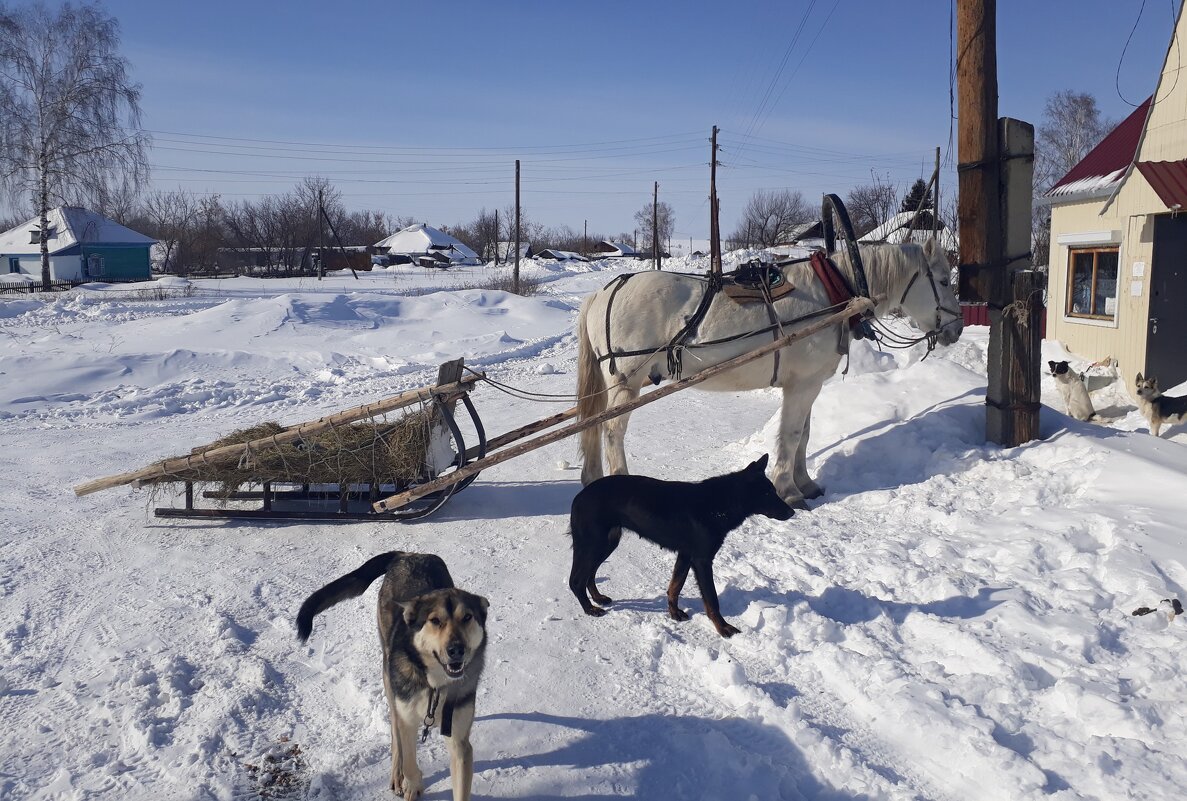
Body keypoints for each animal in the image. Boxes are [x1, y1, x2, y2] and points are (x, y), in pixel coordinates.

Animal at [299, 555, 489, 801]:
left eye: (467, 617)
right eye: (435, 621)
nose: (456, 650)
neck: (434, 683)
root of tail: (407, 554)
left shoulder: (459, 741)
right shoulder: (407, 719)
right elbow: (408, 760)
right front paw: (412, 784)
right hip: (389, 680)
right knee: (395, 735)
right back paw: (397, 776)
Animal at [567, 458, 792, 640]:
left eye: (772, 491)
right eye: (767, 493)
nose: (792, 512)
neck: (720, 504)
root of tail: (578, 498)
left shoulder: (685, 555)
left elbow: (675, 586)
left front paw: (674, 613)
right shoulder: (702, 560)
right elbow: (711, 599)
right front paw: (723, 628)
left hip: (606, 543)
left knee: (589, 574)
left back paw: (597, 598)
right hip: (594, 543)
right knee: (576, 580)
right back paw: (589, 608)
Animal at [574, 238, 963, 505]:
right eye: (944, 280)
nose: (957, 328)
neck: (834, 292)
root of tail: (601, 294)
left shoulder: (808, 384)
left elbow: (804, 434)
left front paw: (806, 483)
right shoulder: (802, 385)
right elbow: (790, 435)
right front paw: (788, 490)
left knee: (594, 426)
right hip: (626, 382)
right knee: (612, 431)